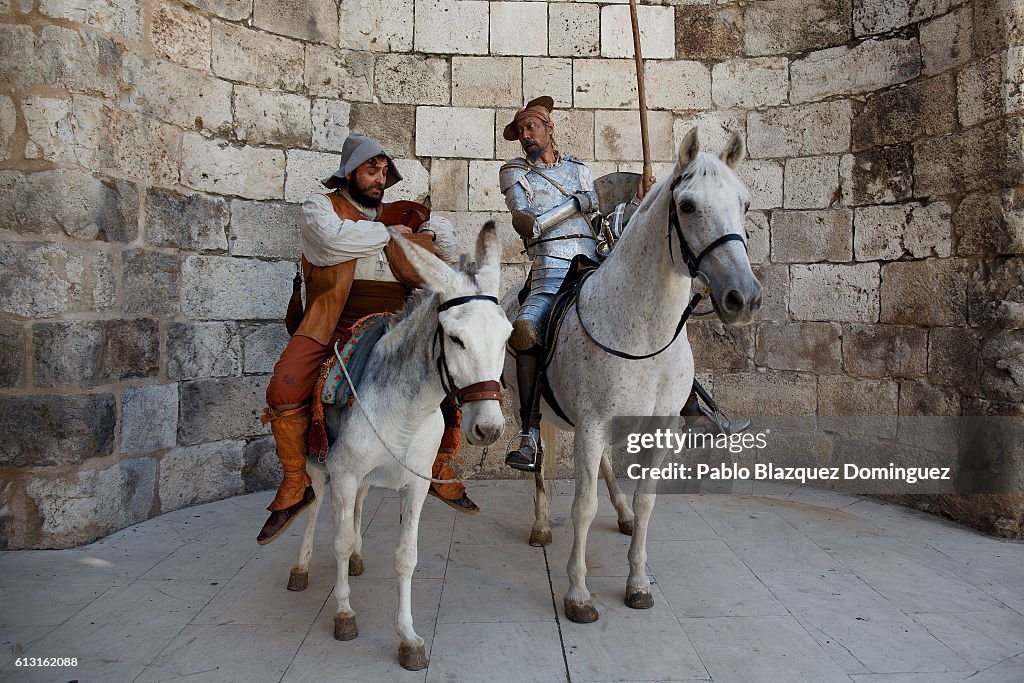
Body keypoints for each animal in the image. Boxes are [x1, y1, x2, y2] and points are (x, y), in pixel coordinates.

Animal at [286, 223, 512, 667]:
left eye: (507, 336)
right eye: (456, 339)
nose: (489, 429)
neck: (407, 413)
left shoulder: (416, 484)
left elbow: (406, 556)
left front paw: (408, 637)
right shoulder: (344, 474)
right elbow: (337, 542)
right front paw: (344, 614)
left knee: (356, 510)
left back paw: (358, 559)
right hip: (319, 464)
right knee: (315, 505)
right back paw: (301, 568)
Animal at [507, 129, 765, 626]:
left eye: (744, 203)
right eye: (687, 205)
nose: (743, 298)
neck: (643, 329)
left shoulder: (657, 428)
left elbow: (647, 501)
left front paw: (638, 582)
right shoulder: (591, 423)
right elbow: (583, 506)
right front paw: (578, 594)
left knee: (605, 465)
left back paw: (622, 513)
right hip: (531, 403)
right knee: (540, 458)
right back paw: (541, 521)